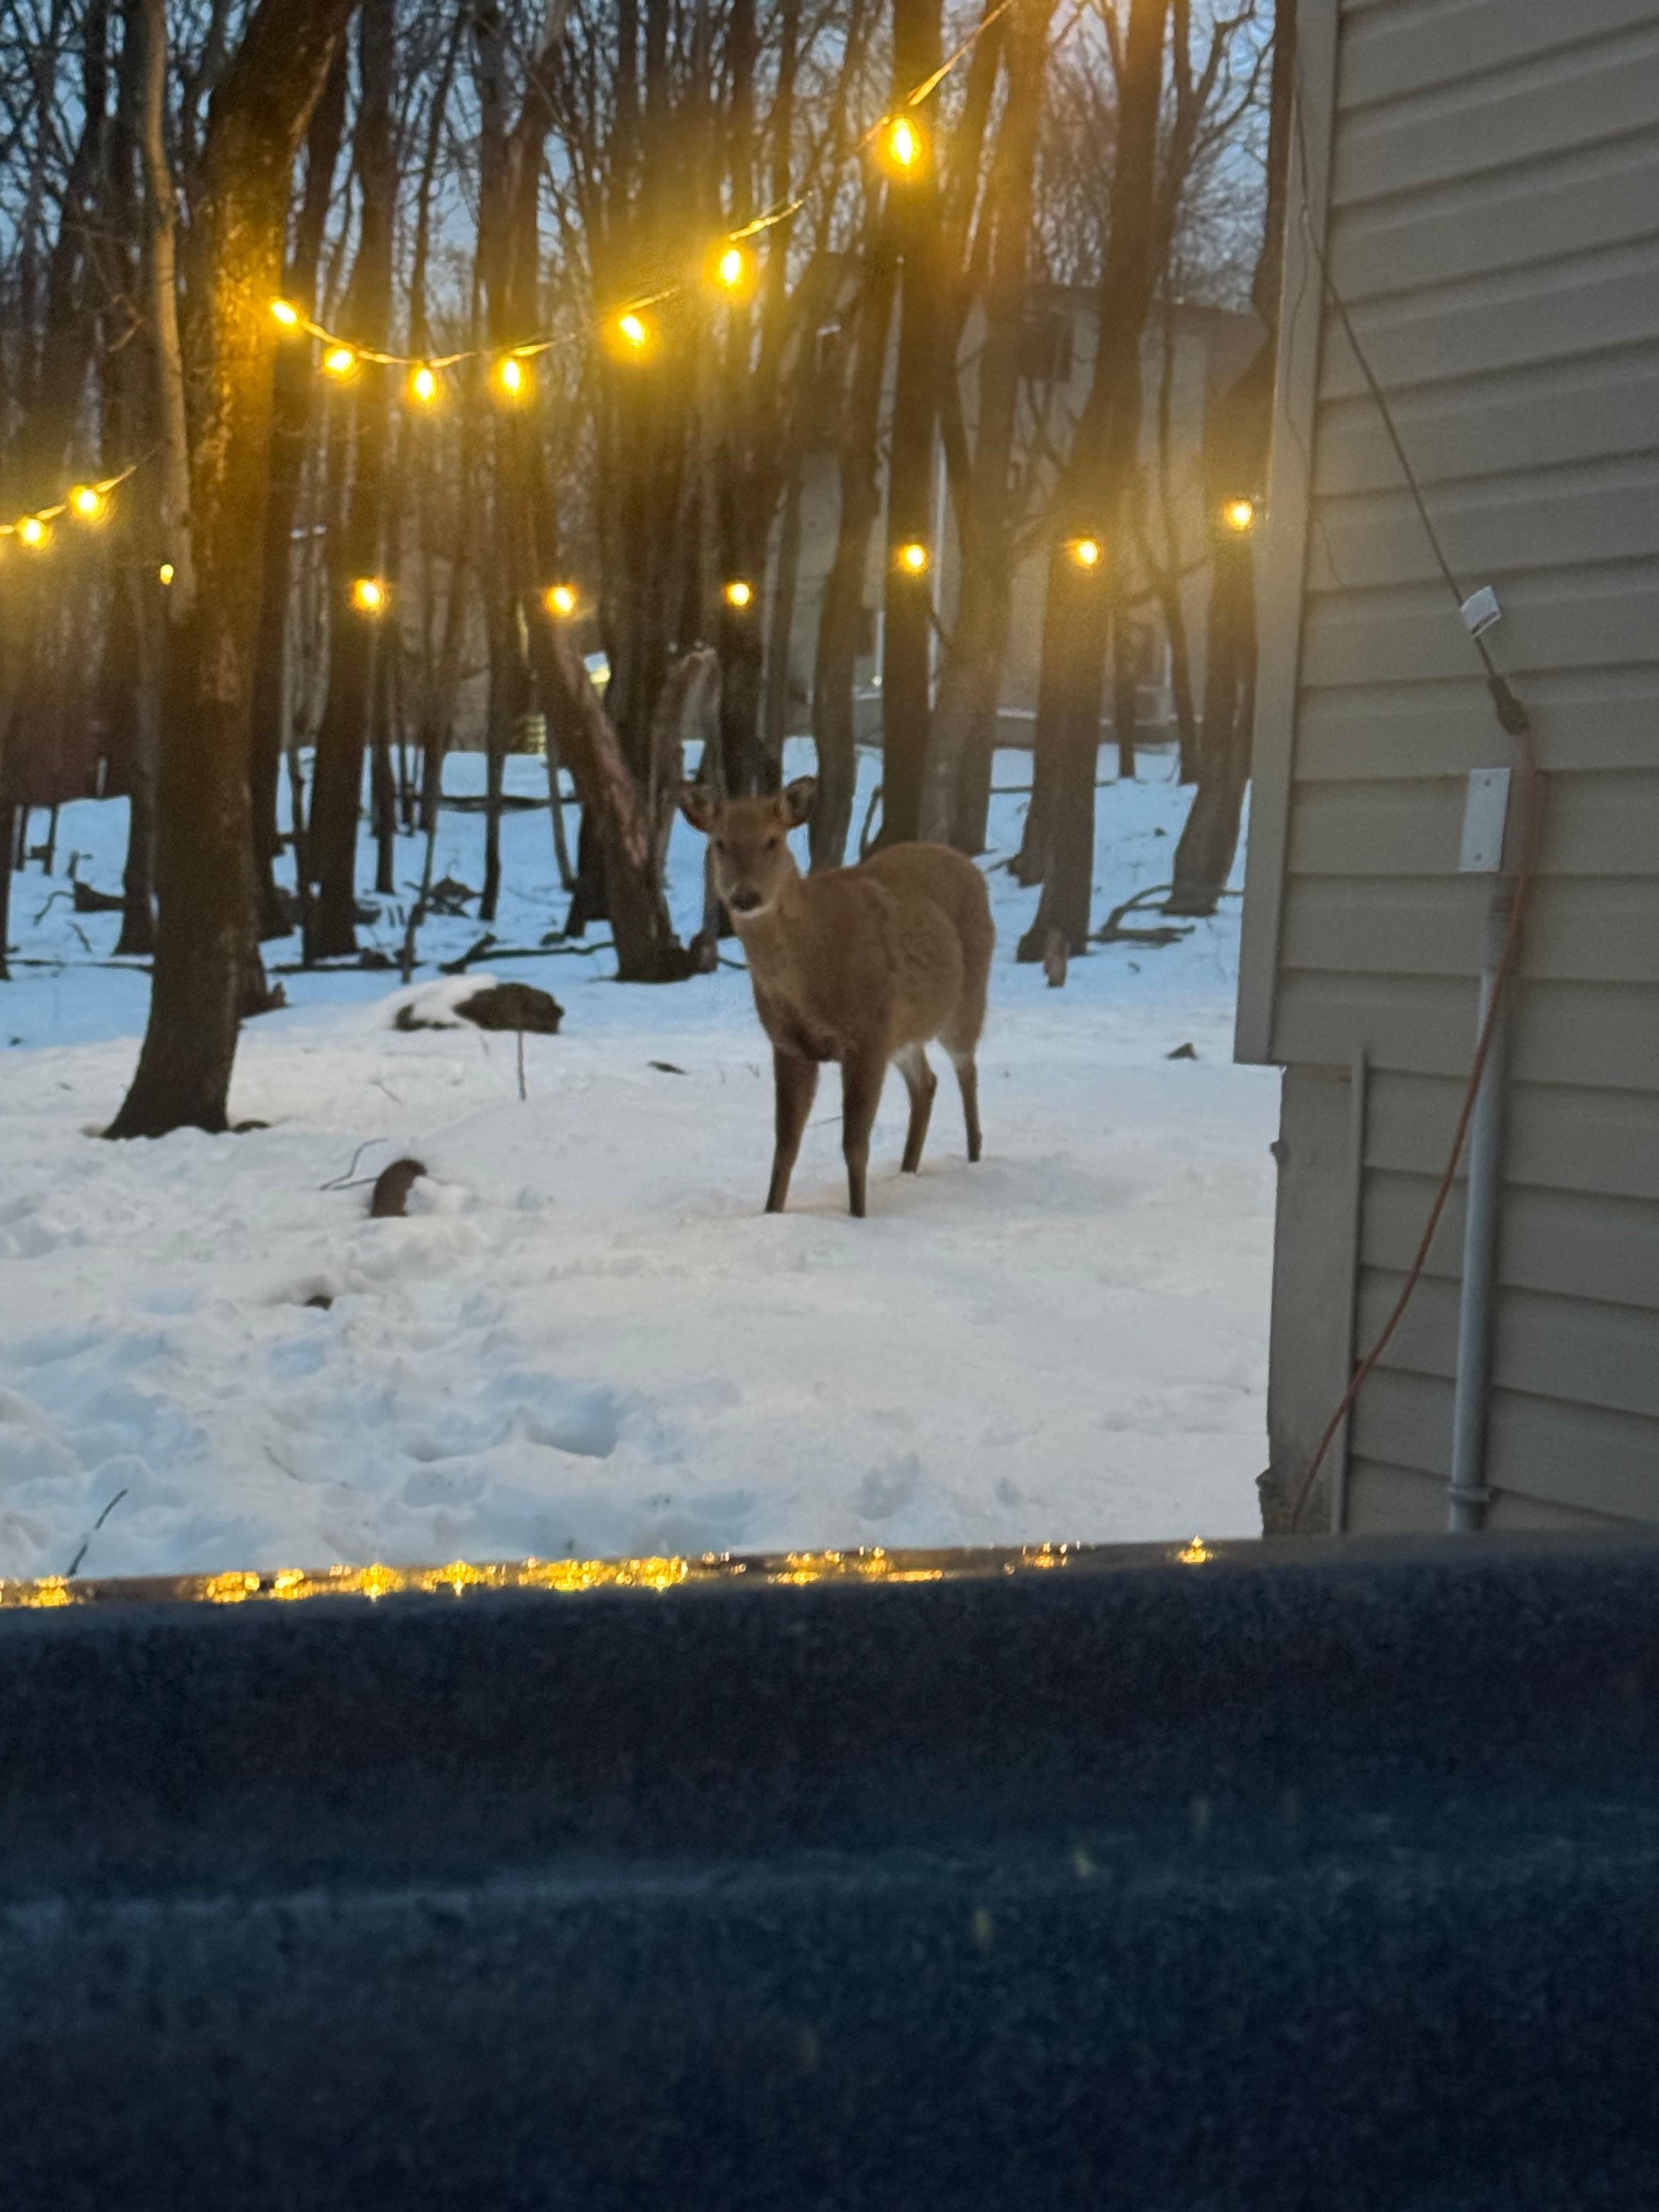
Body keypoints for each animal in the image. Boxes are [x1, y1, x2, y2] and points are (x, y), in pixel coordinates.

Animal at [679, 777, 994, 1217]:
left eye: (773, 840)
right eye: (720, 843)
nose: (745, 896)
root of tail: (970, 865)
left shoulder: (866, 1034)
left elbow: (854, 1144)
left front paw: (858, 1216)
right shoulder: (789, 1045)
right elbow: (785, 1146)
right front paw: (772, 1212)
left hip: (966, 999)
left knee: (967, 1070)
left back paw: (974, 1159)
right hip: (903, 1028)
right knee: (926, 1082)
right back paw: (907, 1170)